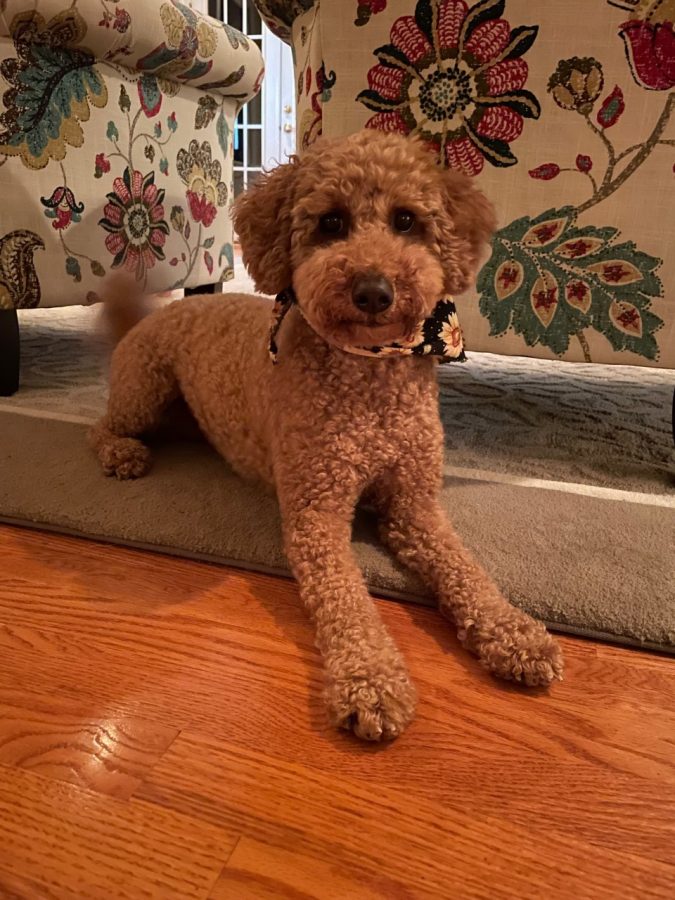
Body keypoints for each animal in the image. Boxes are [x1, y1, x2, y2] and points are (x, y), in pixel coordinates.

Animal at [91, 130, 564, 740]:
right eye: (331, 222)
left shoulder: (414, 504)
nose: (374, 290)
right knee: (103, 426)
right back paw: (122, 455)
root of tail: (147, 318)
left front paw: (515, 632)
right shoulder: (317, 516)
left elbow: (465, 569)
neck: (367, 377)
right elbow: (346, 602)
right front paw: (371, 682)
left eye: (406, 220)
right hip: (144, 388)